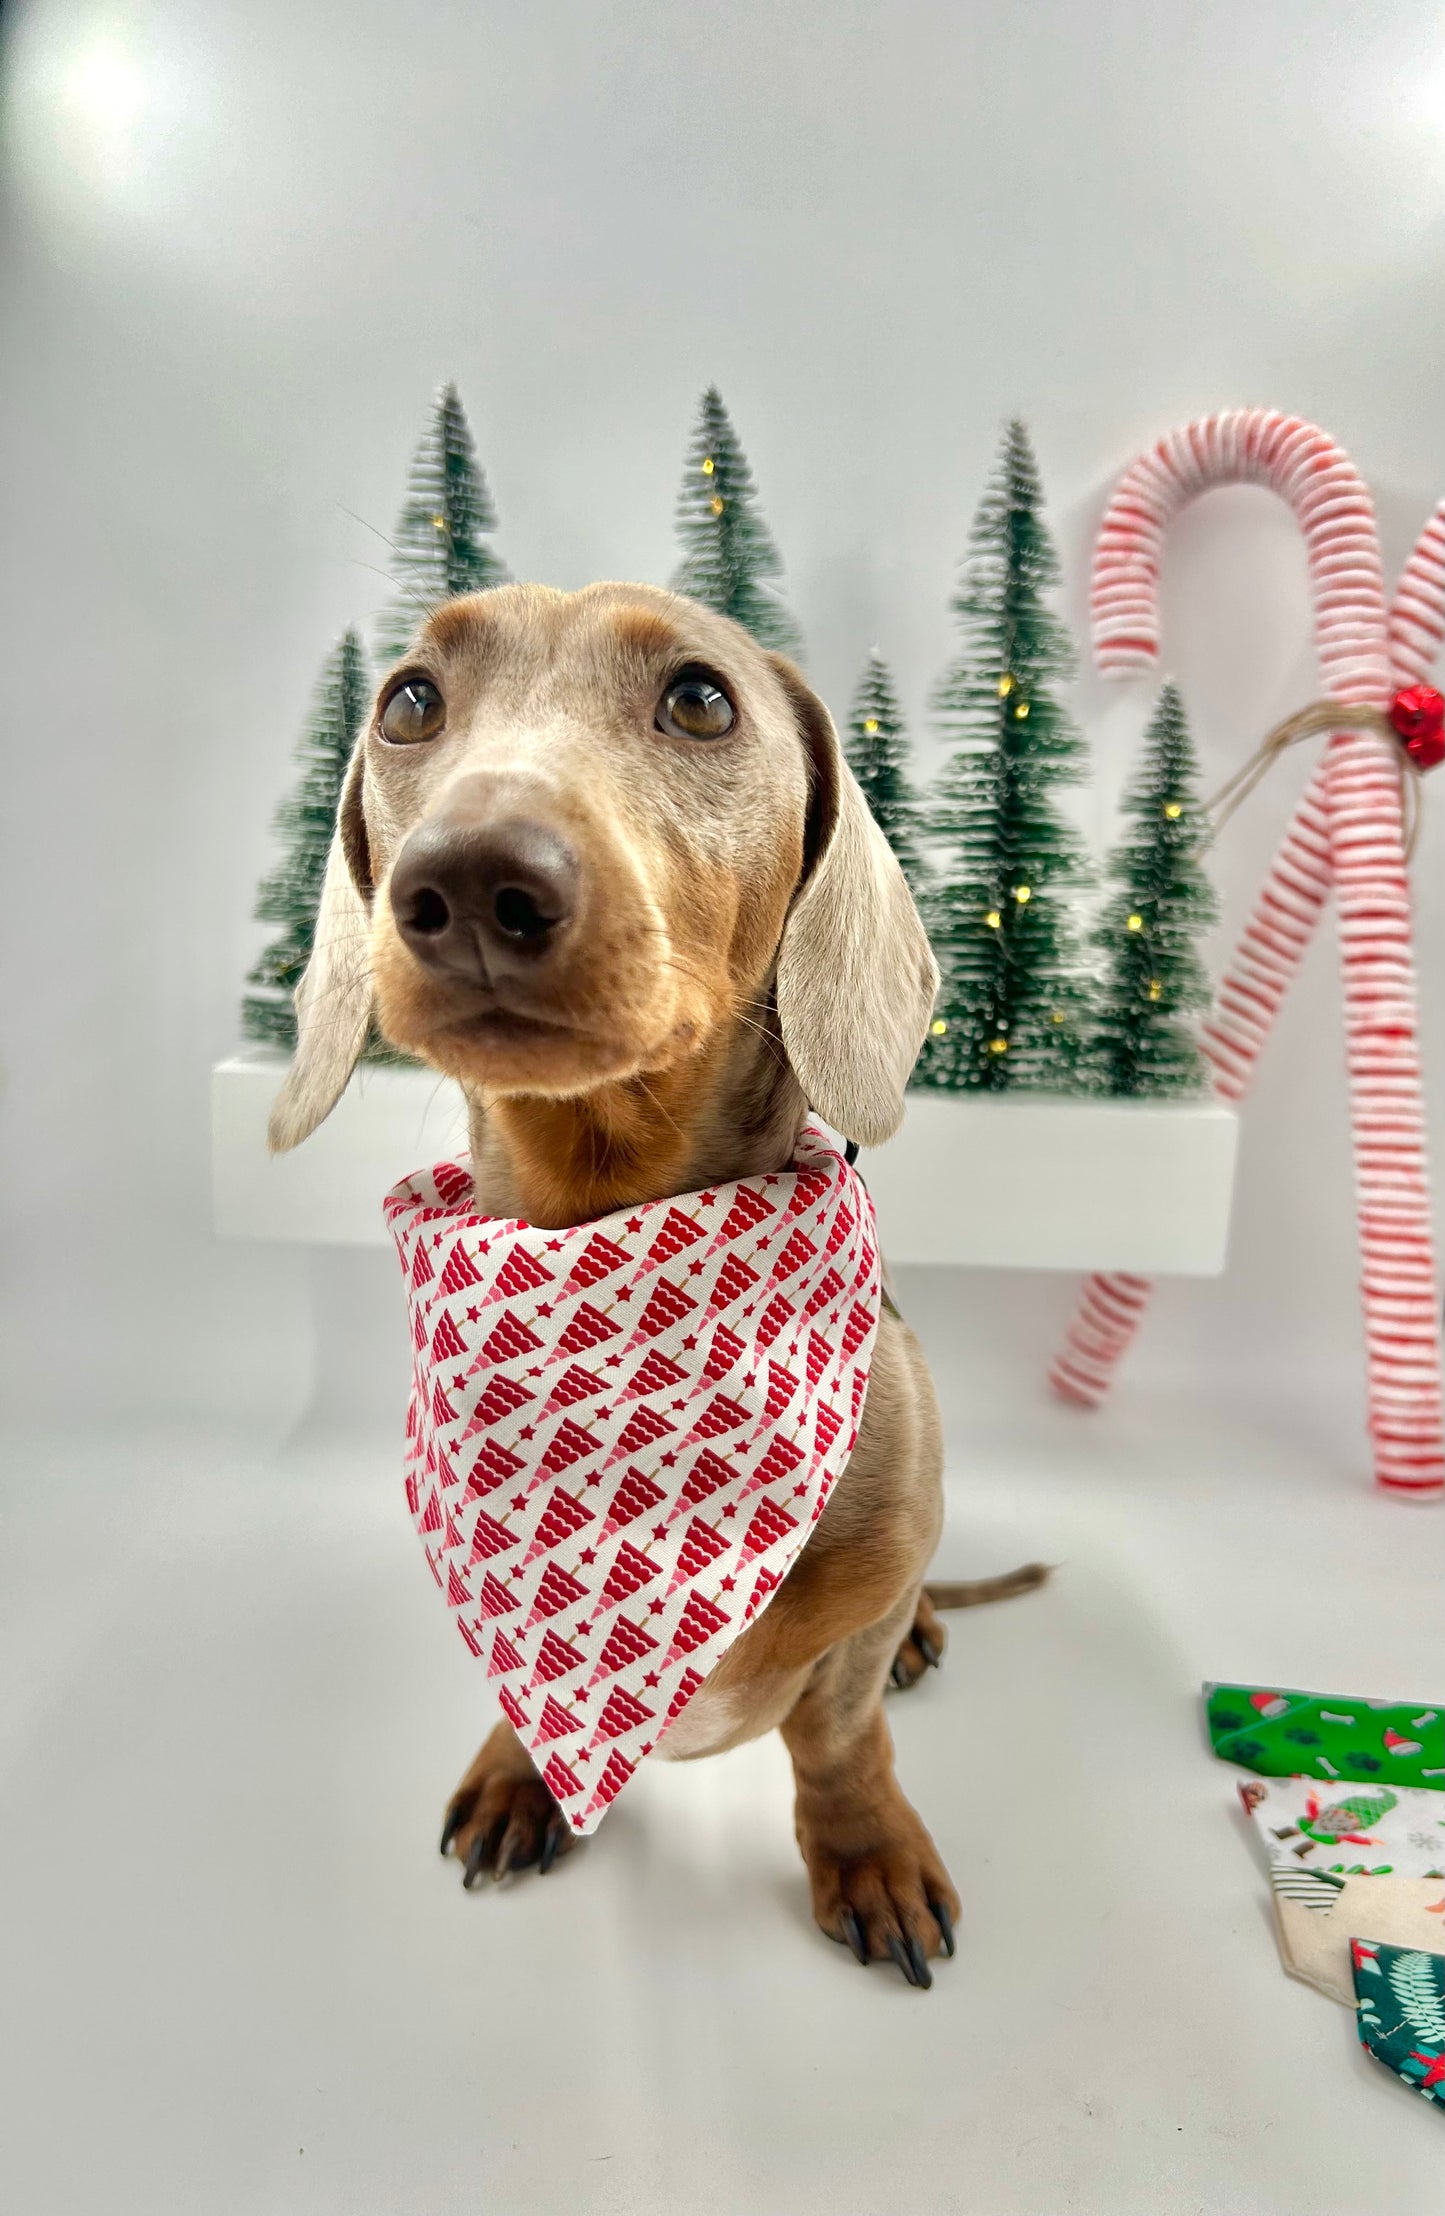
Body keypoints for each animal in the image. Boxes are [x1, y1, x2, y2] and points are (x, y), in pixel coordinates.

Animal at [270, 585, 1037, 1994]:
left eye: (698, 697)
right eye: (408, 699)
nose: (471, 881)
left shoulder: (859, 1610)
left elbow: (839, 1737)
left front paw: (866, 1849)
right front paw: (518, 1773)